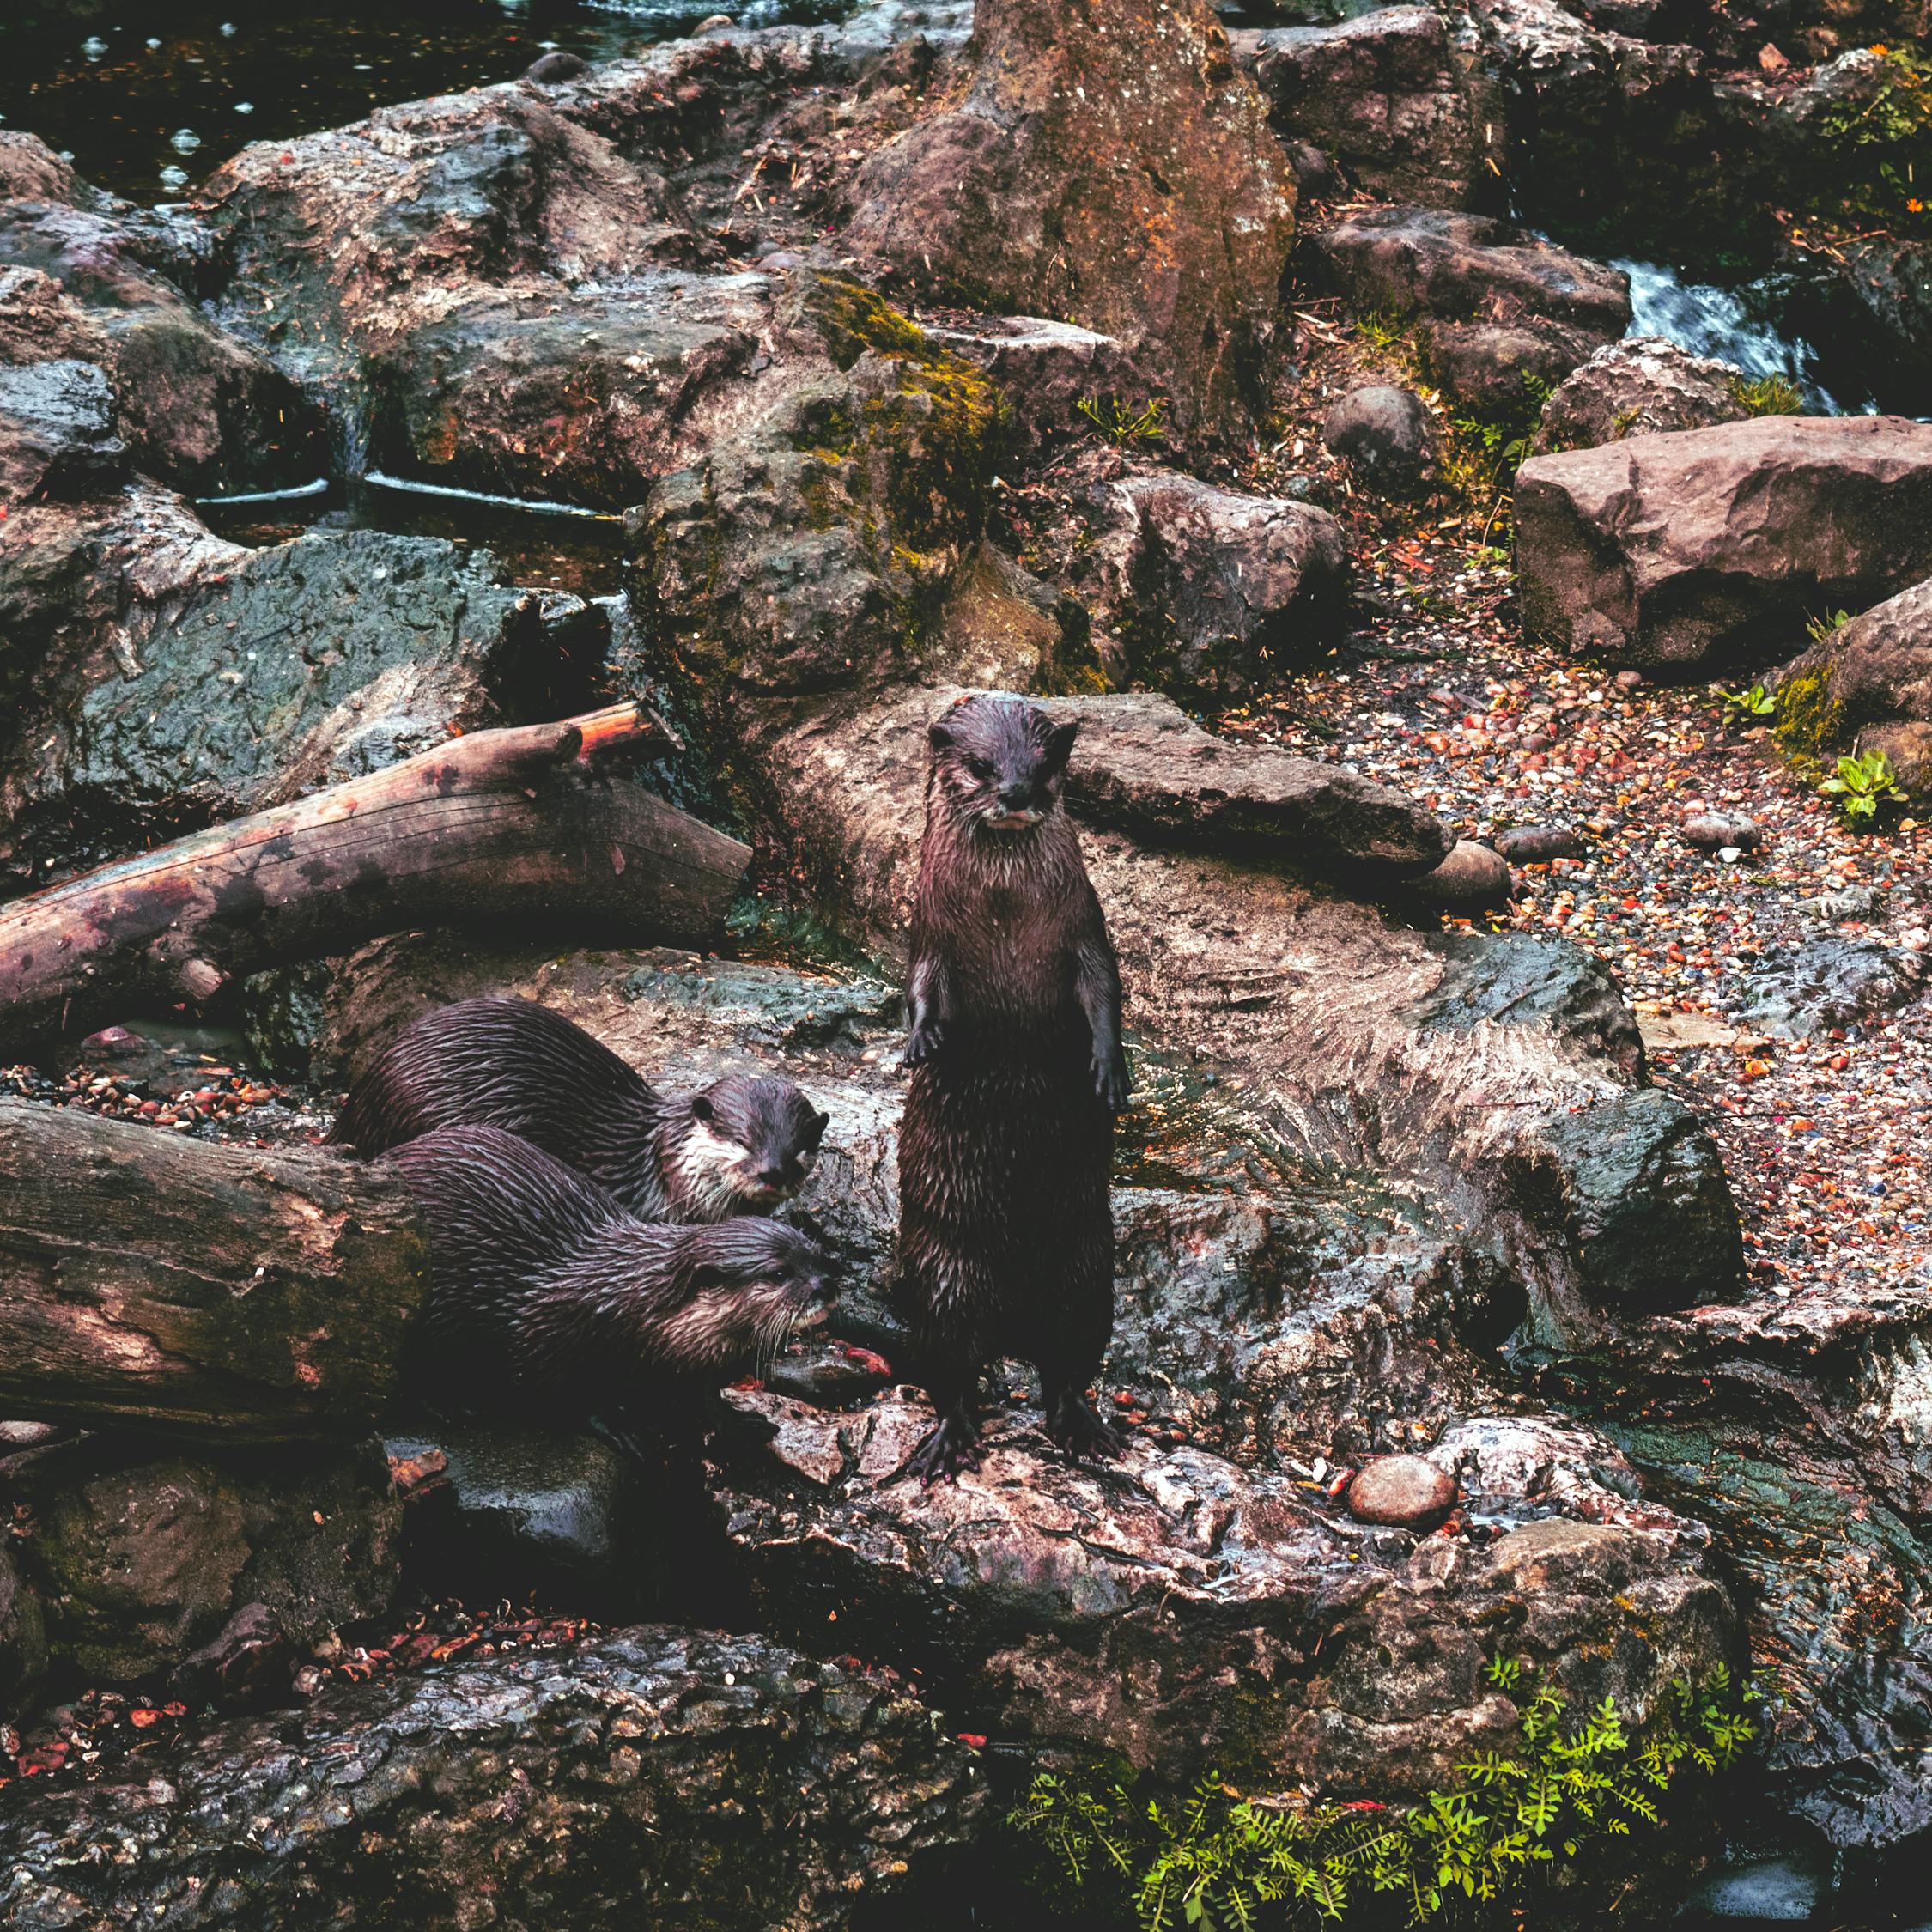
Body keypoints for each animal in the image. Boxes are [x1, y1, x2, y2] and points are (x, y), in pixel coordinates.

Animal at [388, 1128, 842, 1414]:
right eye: (780, 1274)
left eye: (817, 1254)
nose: (827, 1286)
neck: (622, 1307)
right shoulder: (541, 1336)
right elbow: (554, 1394)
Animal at [892, 691, 1128, 1476]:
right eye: (981, 765)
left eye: (1044, 762)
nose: (1019, 792)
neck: (1003, 911)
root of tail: (1012, 1330)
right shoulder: (929, 930)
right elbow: (921, 986)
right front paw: (921, 1043)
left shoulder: (1086, 928)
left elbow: (1104, 991)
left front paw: (1109, 1070)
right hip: (942, 1279)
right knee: (951, 1371)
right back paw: (947, 1440)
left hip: (1088, 1281)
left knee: (1066, 1368)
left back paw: (1082, 1427)